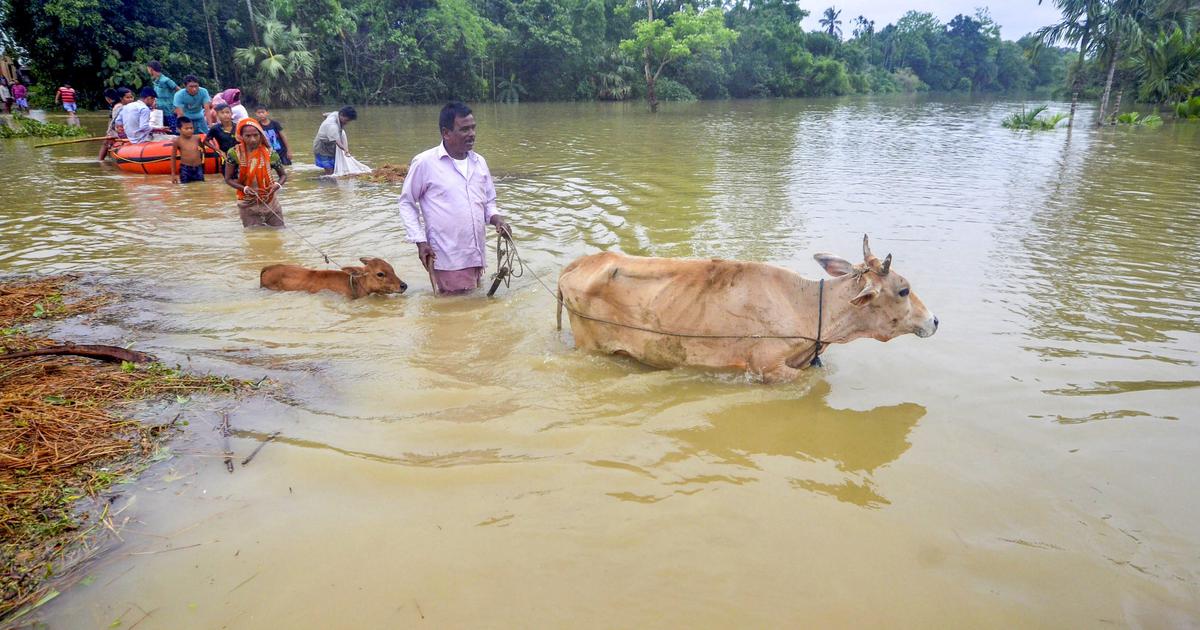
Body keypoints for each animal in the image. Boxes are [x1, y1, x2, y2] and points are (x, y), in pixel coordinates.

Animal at [554, 234, 936, 381]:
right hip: (590, 345)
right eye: (903, 290)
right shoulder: (769, 368)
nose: (934, 320)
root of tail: (576, 264)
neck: (807, 308)